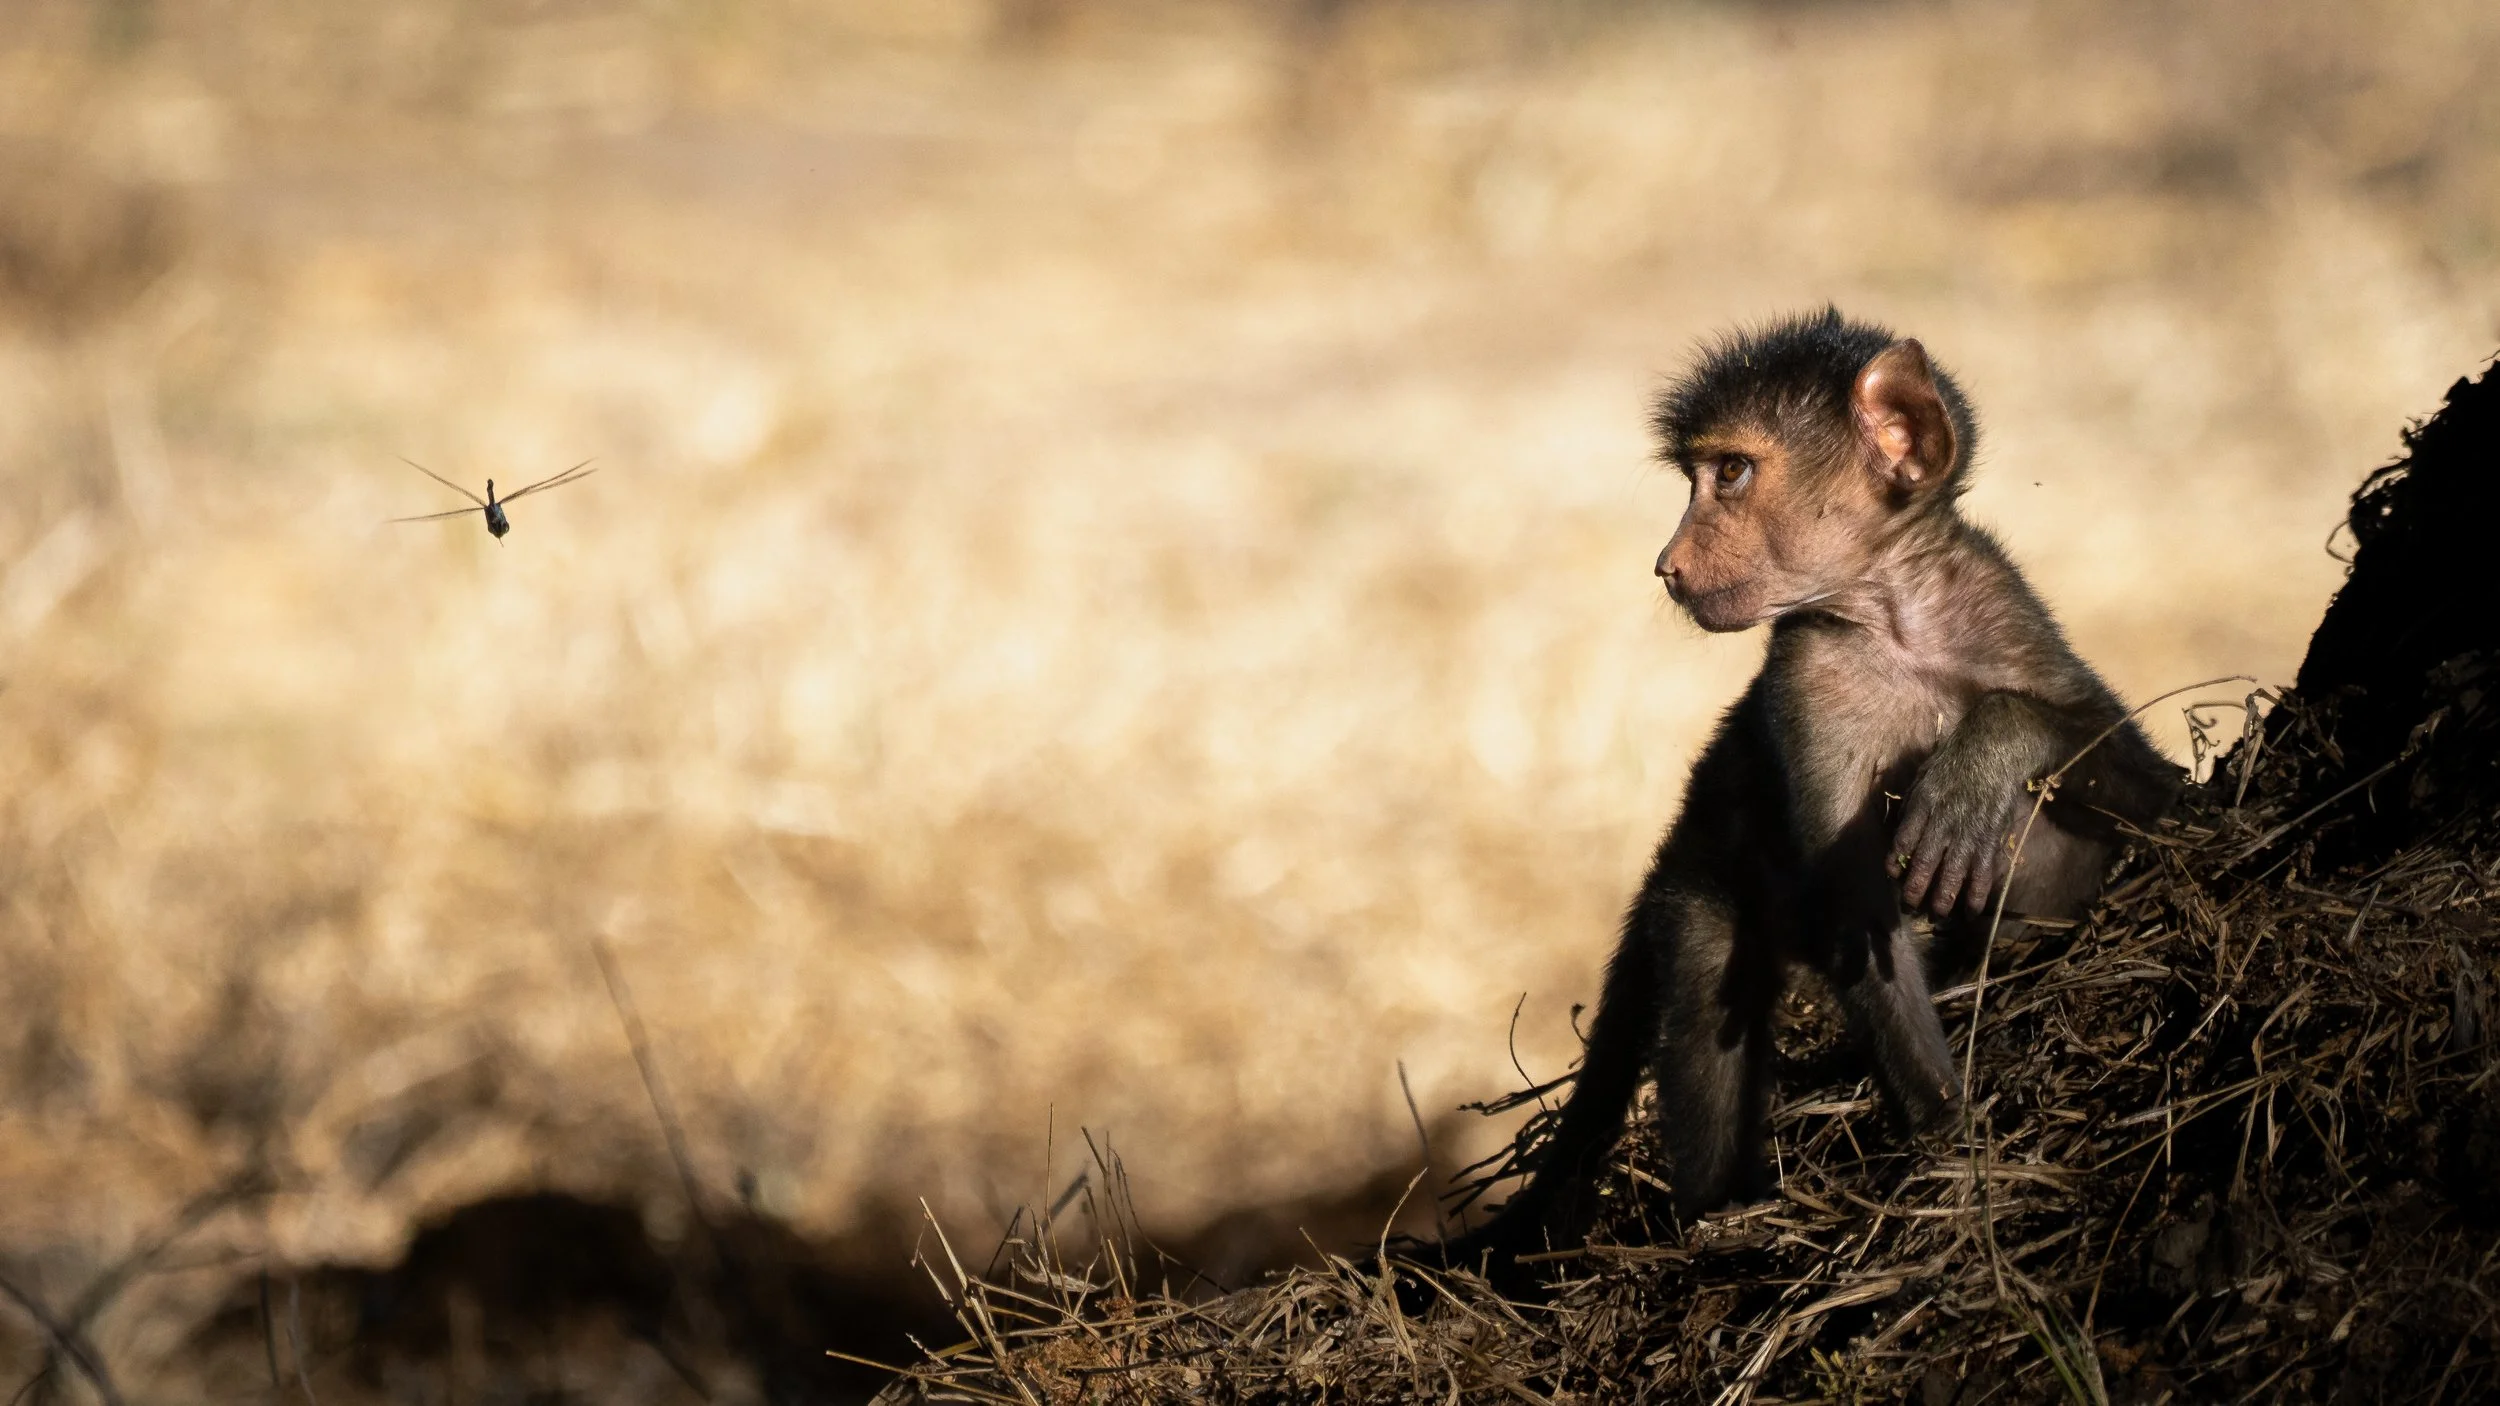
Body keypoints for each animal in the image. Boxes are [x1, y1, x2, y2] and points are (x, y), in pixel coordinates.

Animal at [1435, 308, 2179, 1271]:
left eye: (1731, 473)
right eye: (1700, 477)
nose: (1666, 564)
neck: (1894, 617)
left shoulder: (1999, 607)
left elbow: (2153, 788)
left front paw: (1983, 758)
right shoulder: (1808, 681)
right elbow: (1858, 917)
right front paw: (1950, 1142)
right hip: (1697, 893)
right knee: (1708, 1007)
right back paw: (1720, 1219)